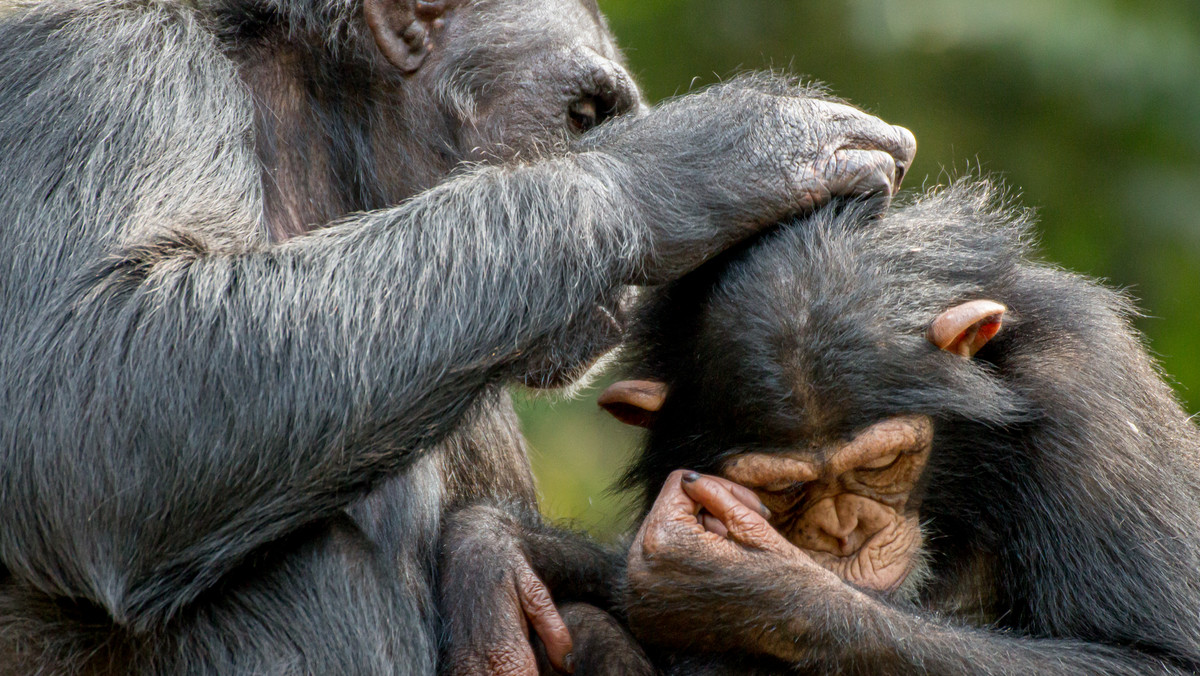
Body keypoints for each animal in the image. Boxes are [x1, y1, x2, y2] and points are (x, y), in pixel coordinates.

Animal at [588, 182, 1200, 672]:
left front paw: (741, 588)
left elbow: (1153, 658)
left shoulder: (1086, 393)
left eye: (881, 464)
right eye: (784, 488)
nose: (845, 531)